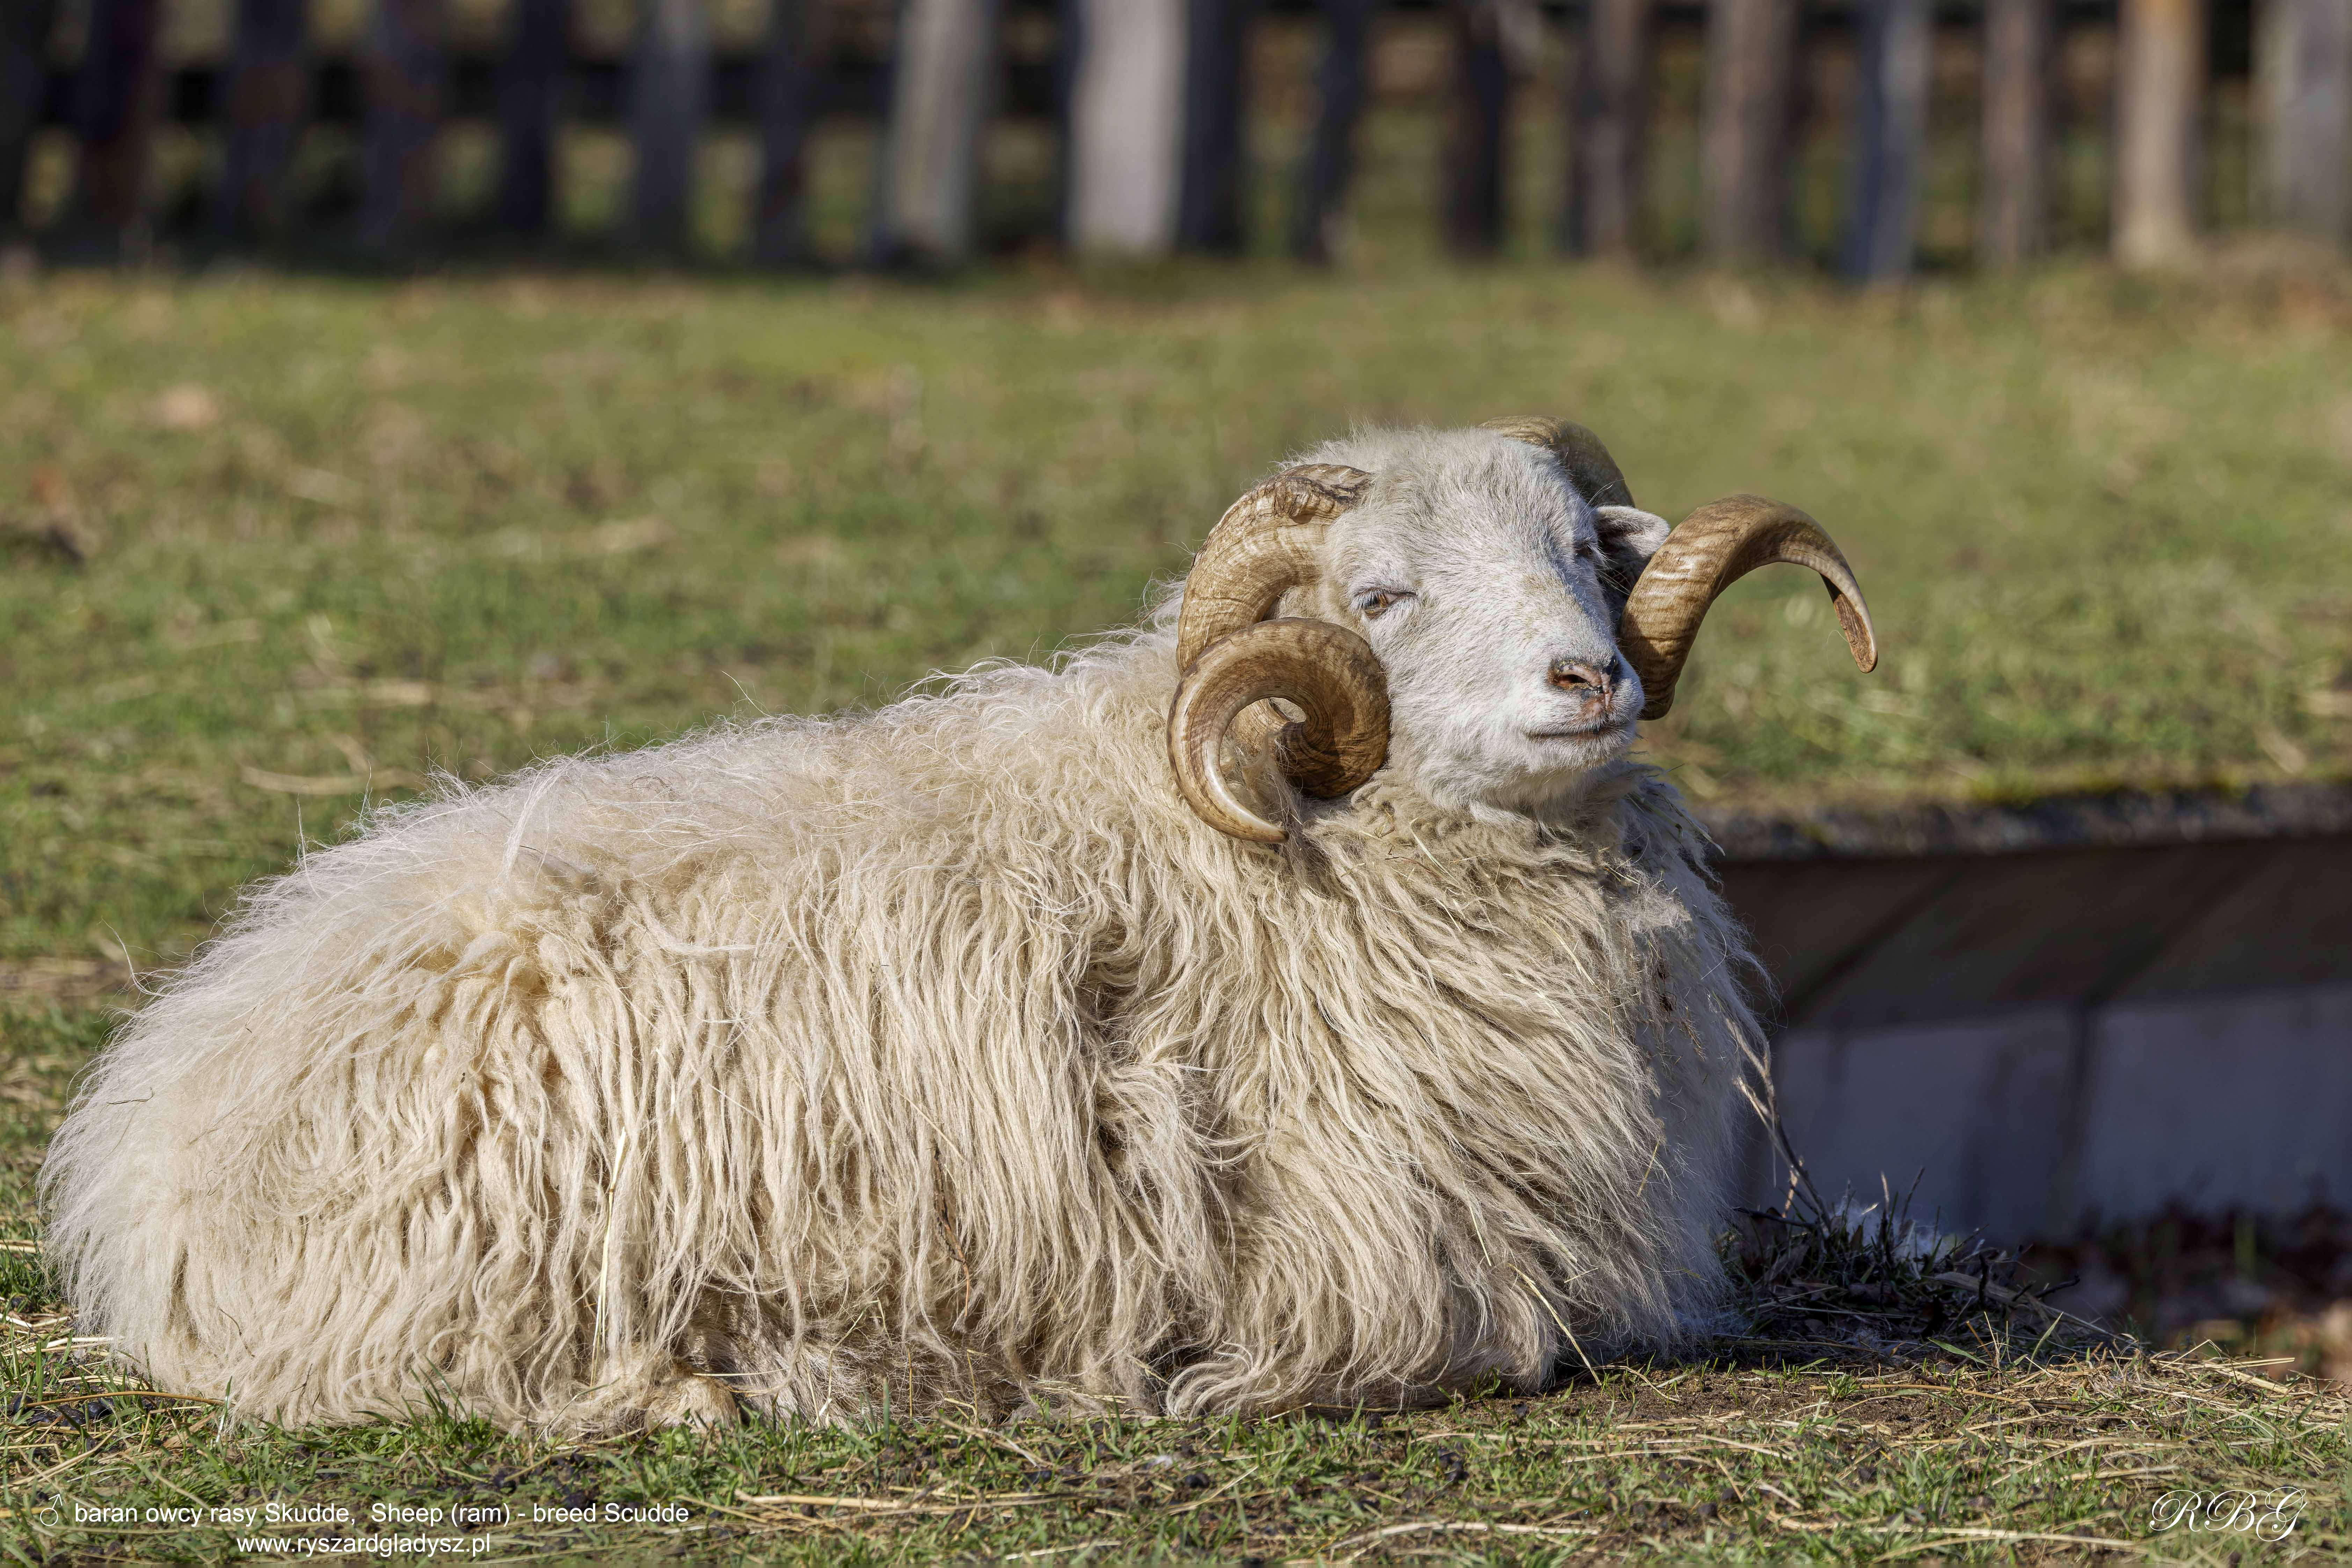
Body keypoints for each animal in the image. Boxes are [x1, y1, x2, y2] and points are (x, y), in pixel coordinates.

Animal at [41, 419, 1876, 1433]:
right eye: (1382, 596)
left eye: (1582, 550)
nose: (1589, 680)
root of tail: (148, 1144)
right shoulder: (1361, 1267)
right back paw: (751, 1382)